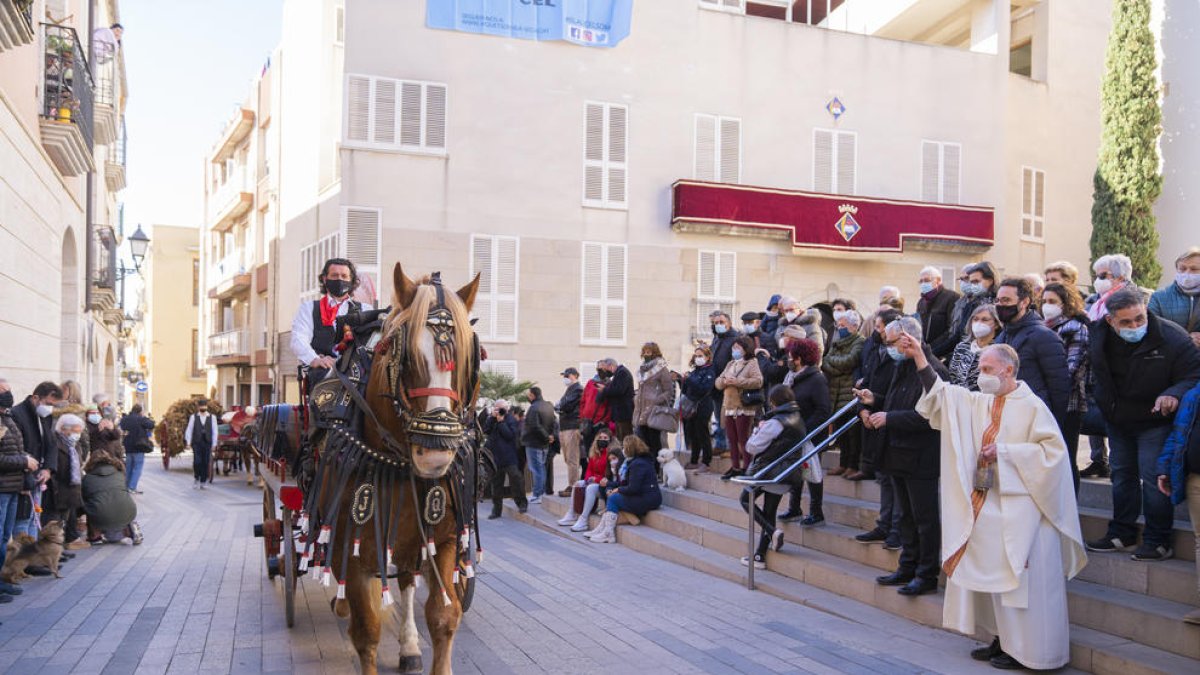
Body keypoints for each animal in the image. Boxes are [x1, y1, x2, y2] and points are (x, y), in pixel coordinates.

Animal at [302, 264, 480, 672]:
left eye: (468, 360)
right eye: (407, 358)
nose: (434, 456)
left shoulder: (444, 538)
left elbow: (444, 616)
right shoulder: (352, 543)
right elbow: (366, 630)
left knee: (407, 580)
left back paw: (409, 645)